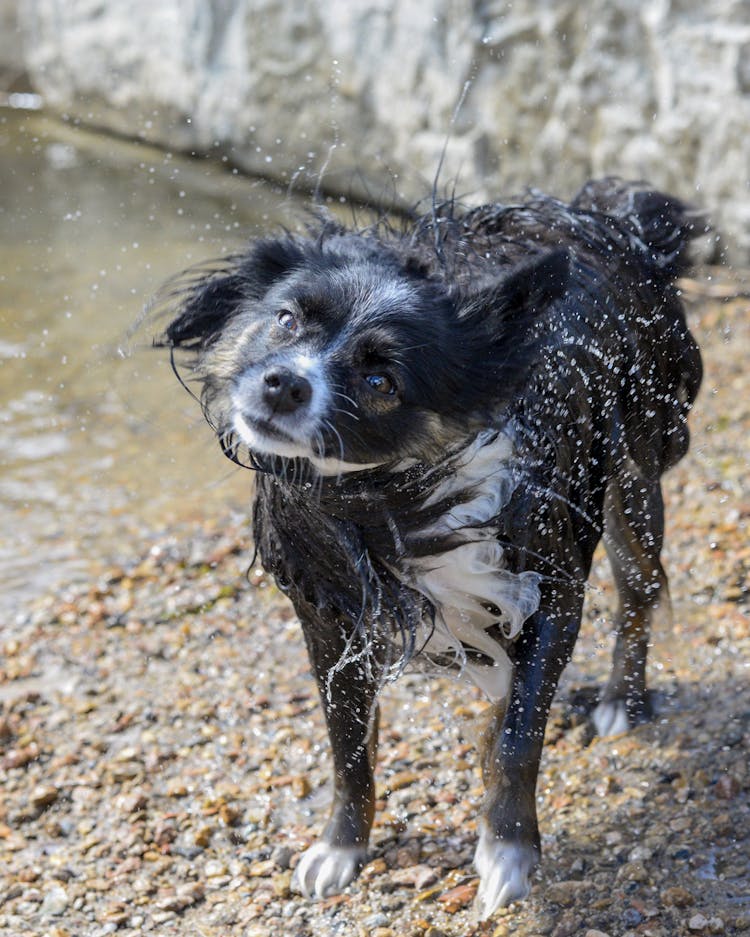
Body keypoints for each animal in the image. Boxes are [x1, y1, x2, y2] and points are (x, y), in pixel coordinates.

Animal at [154, 179, 704, 916]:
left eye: (381, 382)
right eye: (286, 320)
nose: (283, 383)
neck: (391, 490)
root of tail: (611, 216)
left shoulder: (553, 586)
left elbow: (521, 735)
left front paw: (508, 848)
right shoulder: (331, 613)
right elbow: (348, 745)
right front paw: (341, 846)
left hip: (632, 474)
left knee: (640, 586)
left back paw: (624, 698)